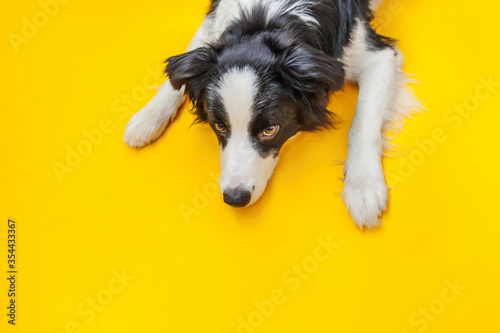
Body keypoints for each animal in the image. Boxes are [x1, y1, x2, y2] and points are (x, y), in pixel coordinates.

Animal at [123, 0, 420, 227]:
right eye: (219, 126)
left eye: (270, 130)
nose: (234, 198)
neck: (268, 17)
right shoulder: (213, 23)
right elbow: (181, 68)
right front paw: (147, 117)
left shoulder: (377, 54)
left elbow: (362, 122)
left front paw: (362, 186)